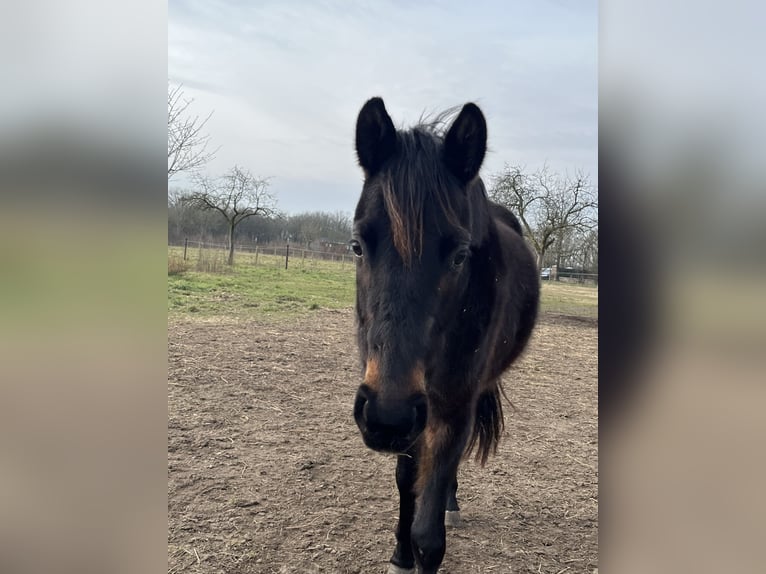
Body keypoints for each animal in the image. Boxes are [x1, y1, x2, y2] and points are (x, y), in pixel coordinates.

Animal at [354, 99, 540, 574]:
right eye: (357, 246)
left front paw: (423, 538)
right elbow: (407, 483)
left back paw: (450, 504)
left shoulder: (453, 406)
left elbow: (429, 536)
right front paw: (400, 555)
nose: (386, 415)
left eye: (459, 255)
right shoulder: (411, 415)